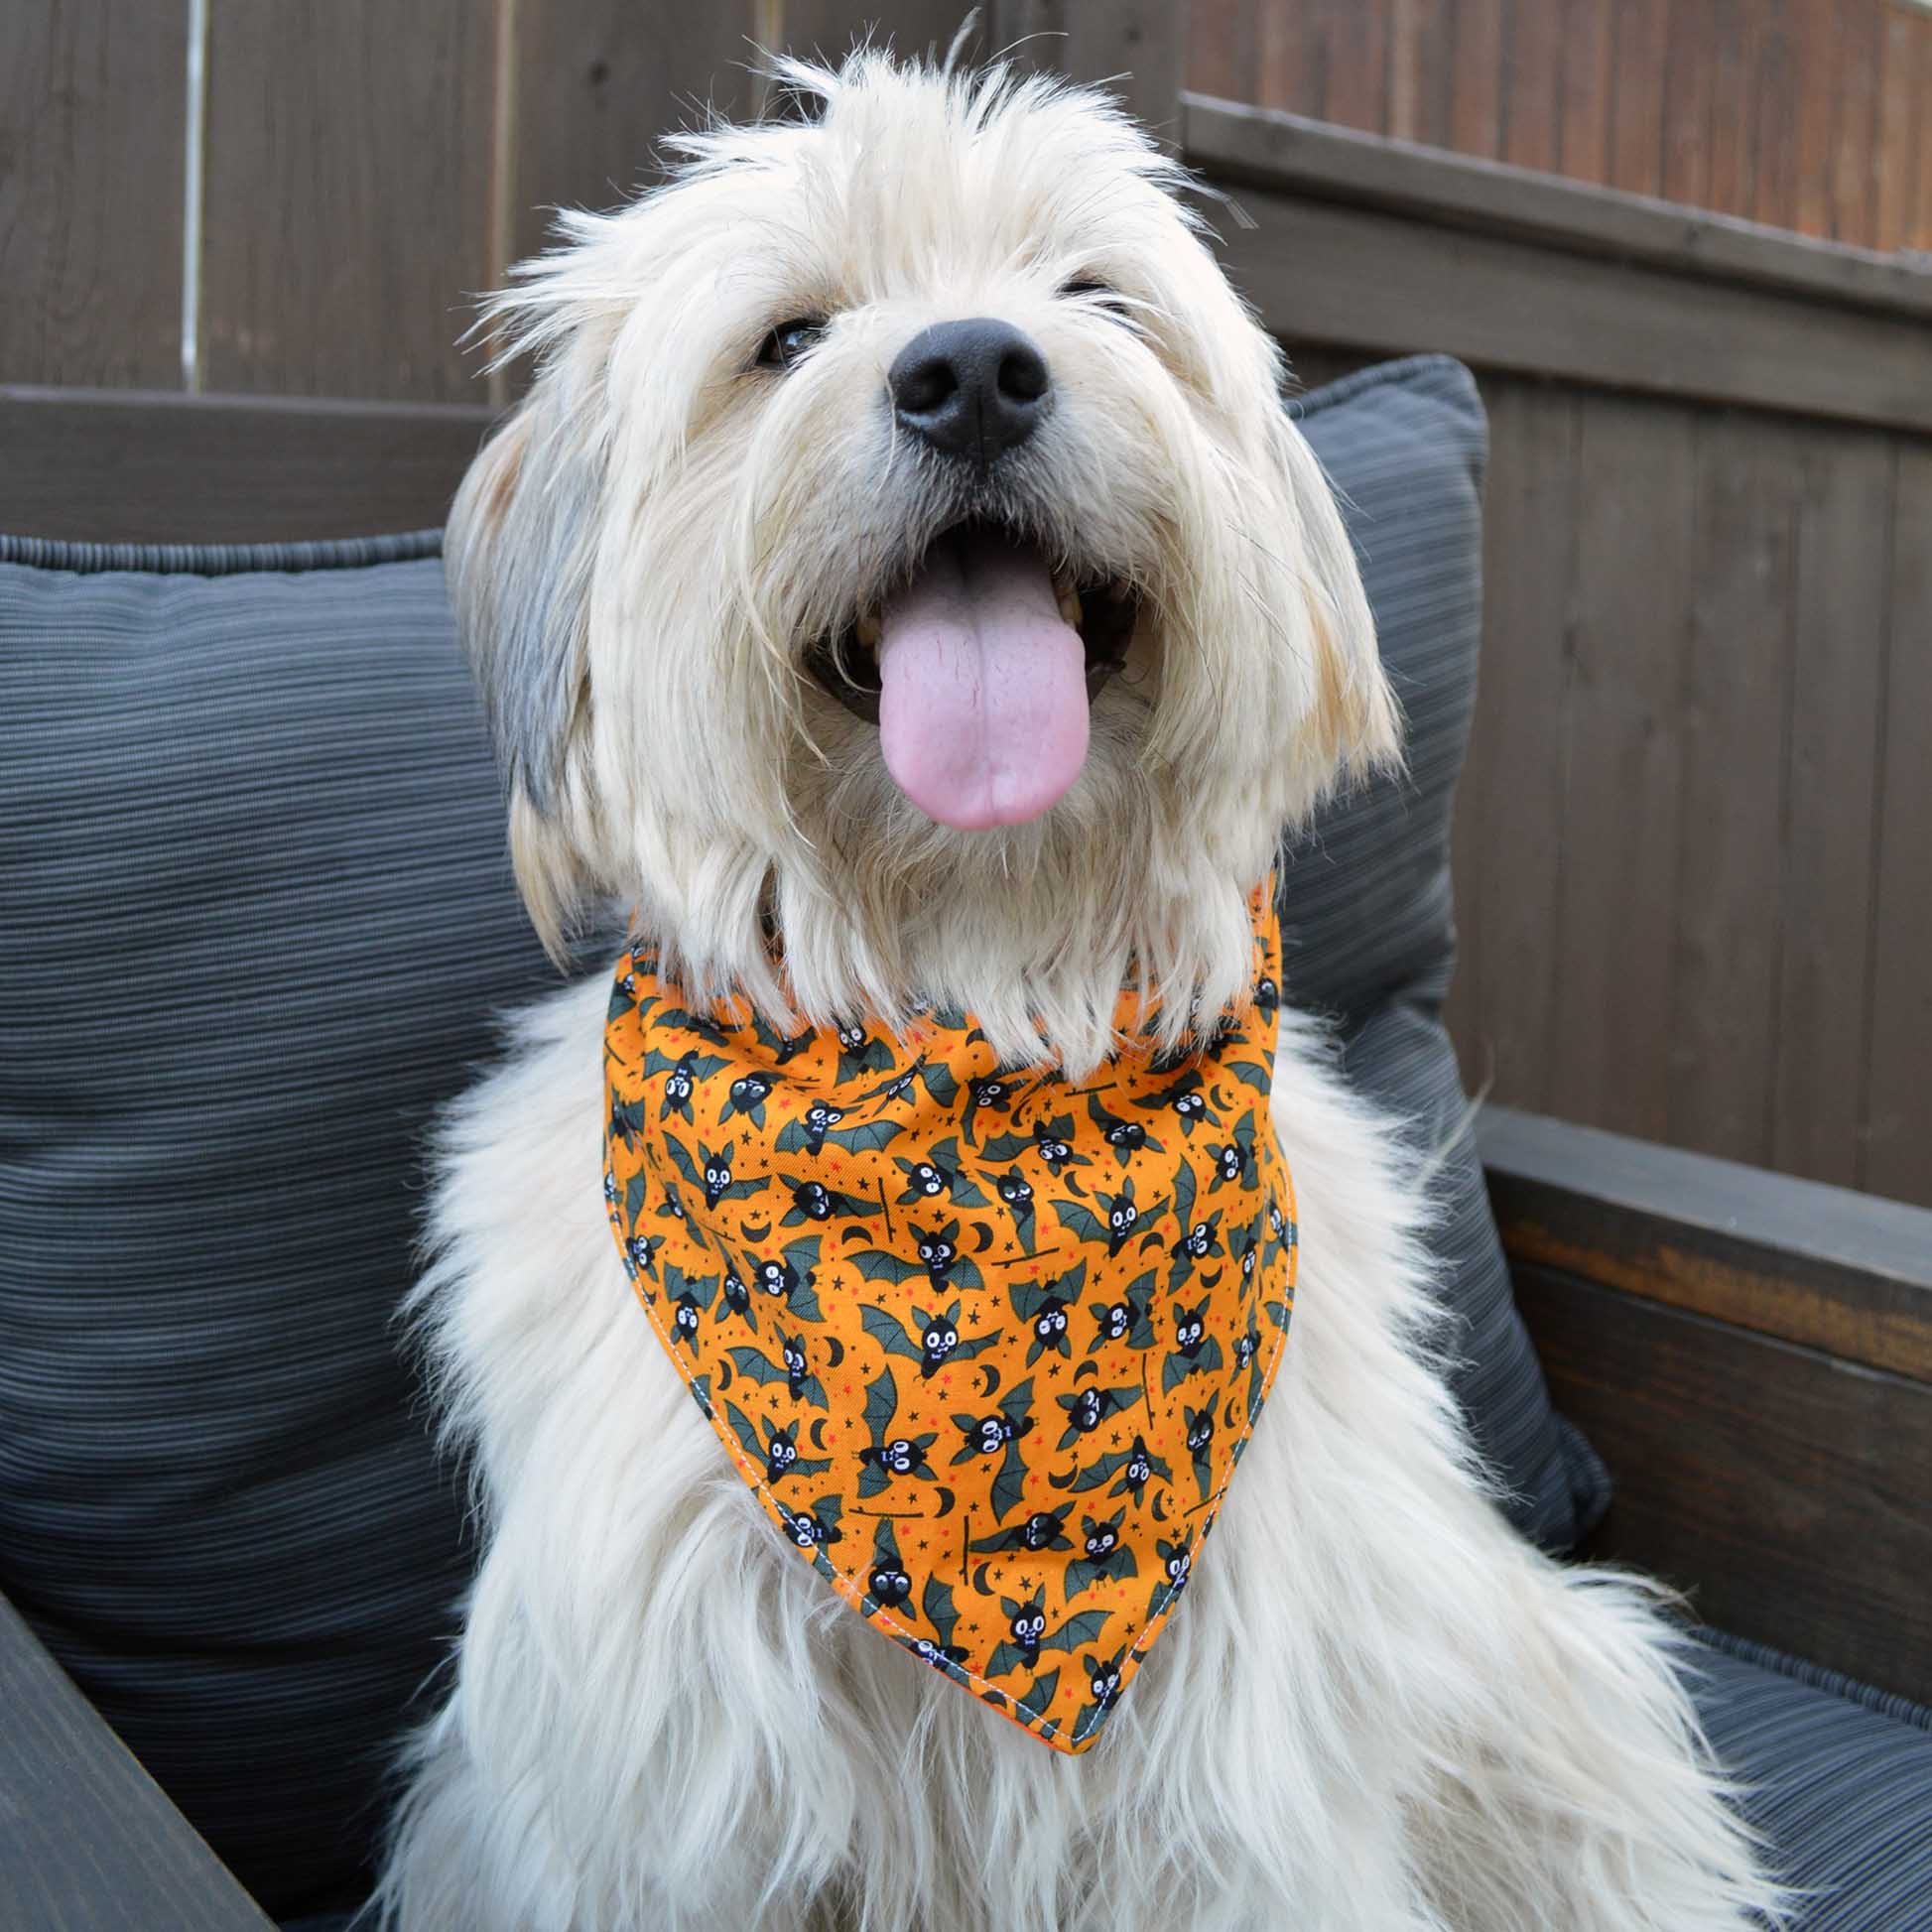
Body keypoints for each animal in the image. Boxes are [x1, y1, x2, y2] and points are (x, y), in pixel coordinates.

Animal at [376, 45, 1777, 1932]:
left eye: (1095, 295)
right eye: (787, 336)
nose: (971, 371)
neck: (983, 1010)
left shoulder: (1241, 1771)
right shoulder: (670, 1779)